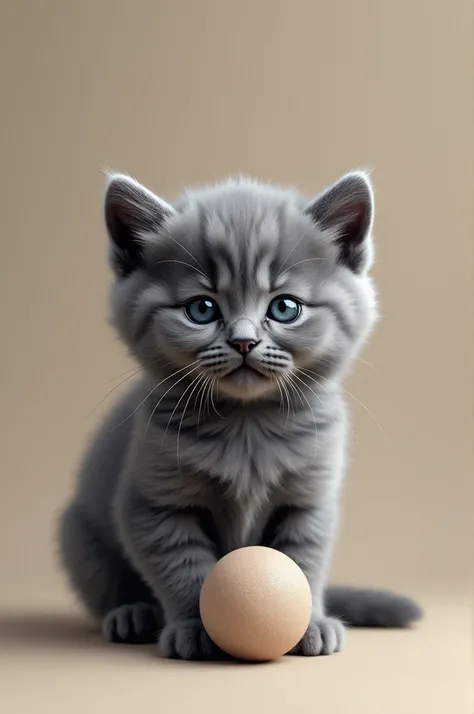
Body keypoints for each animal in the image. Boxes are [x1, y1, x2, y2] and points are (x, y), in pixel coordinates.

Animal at [57, 170, 420, 660]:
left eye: (285, 307)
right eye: (201, 308)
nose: (244, 341)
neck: (248, 425)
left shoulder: (310, 499)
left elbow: (302, 559)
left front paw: (309, 622)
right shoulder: (152, 504)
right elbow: (184, 567)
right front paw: (195, 626)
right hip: (78, 535)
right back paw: (133, 614)